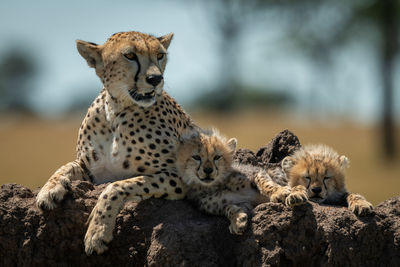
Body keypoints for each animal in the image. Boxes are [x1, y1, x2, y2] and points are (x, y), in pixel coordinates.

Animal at [34, 30, 197, 255]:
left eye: (160, 55)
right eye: (130, 55)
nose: (156, 79)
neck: (116, 111)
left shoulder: (183, 176)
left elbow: (118, 186)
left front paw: (97, 231)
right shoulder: (93, 172)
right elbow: (66, 166)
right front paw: (48, 191)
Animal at [177, 130, 308, 237]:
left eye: (217, 157)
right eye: (196, 157)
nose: (208, 170)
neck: (217, 185)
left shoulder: (256, 171)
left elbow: (266, 184)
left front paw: (279, 192)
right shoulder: (246, 203)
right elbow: (229, 208)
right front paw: (237, 220)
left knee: (300, 186)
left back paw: (296, 196)